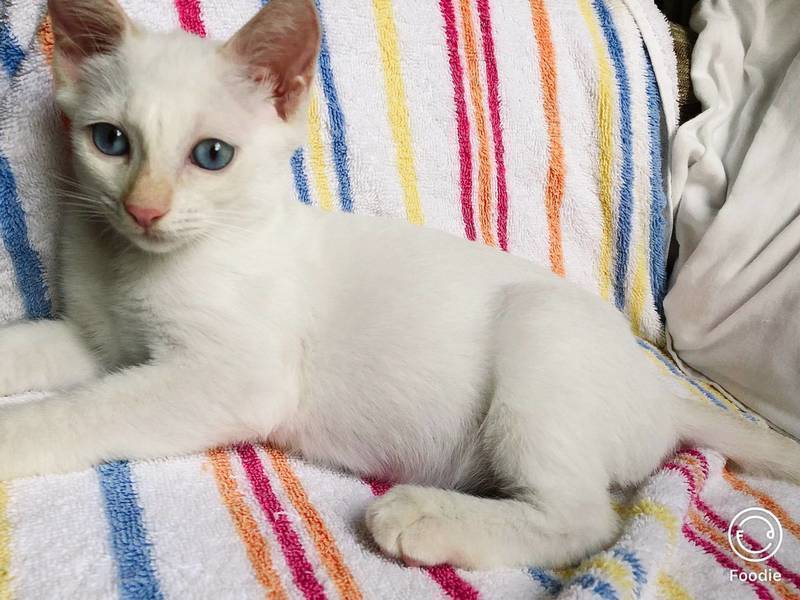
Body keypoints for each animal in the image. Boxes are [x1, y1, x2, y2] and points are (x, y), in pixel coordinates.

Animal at [0, 0, 798, 570]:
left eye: (212, 155)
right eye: (111, 142)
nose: (144, 209)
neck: (133, 264)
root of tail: (662, 393)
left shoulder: (232, 379)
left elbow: (85, 411)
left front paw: (17, 435)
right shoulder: (101, 342)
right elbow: (36, 350)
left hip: (543, 338)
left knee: (585, 520)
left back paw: (424, 519)